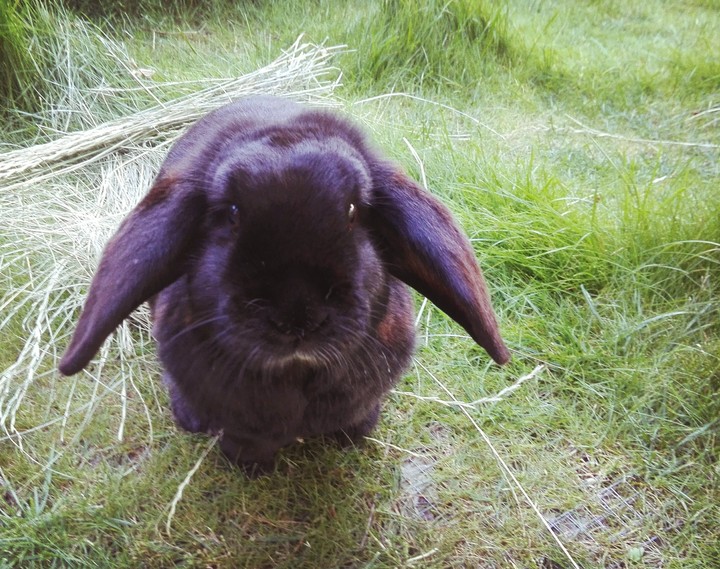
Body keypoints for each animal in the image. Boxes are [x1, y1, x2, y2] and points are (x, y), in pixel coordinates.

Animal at [58, 95, 510, 475]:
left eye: (352, 211)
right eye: (232, 214)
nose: (297, 315)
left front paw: (354, 435)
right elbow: (245, 441)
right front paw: (251, 466)